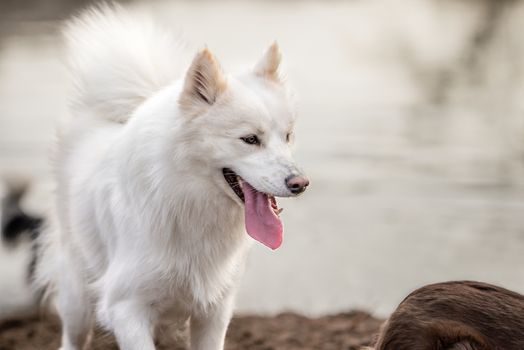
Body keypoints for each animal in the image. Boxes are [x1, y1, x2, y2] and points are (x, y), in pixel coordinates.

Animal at [32, 2, 310, 350]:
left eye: (287, 136)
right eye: (249, 139)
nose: (300, 184)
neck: (185, 197)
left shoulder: (214, 311)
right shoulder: (126, 308)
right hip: (77, 296)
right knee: (72, 335)